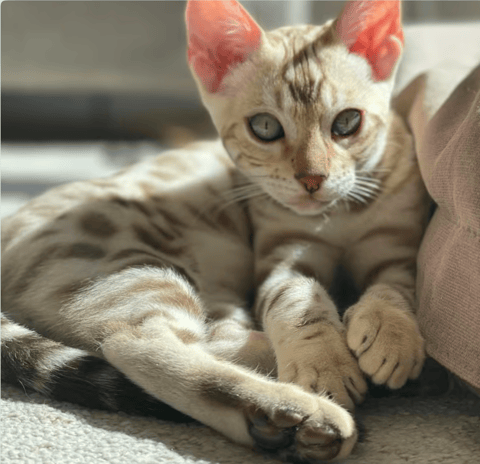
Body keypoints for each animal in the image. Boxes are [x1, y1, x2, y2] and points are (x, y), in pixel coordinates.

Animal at [0, 0, 428, 460]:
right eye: (265, 128)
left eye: (347, 122)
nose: (312, 180)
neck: (339, 212)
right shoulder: (283, 259)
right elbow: (297, 305)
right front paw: (325, 363)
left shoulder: (398, 248)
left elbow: (394, 288)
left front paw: (390, 334)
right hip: (131, 265)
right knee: (136, 343)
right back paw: (297, 411)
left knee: (207, 335)